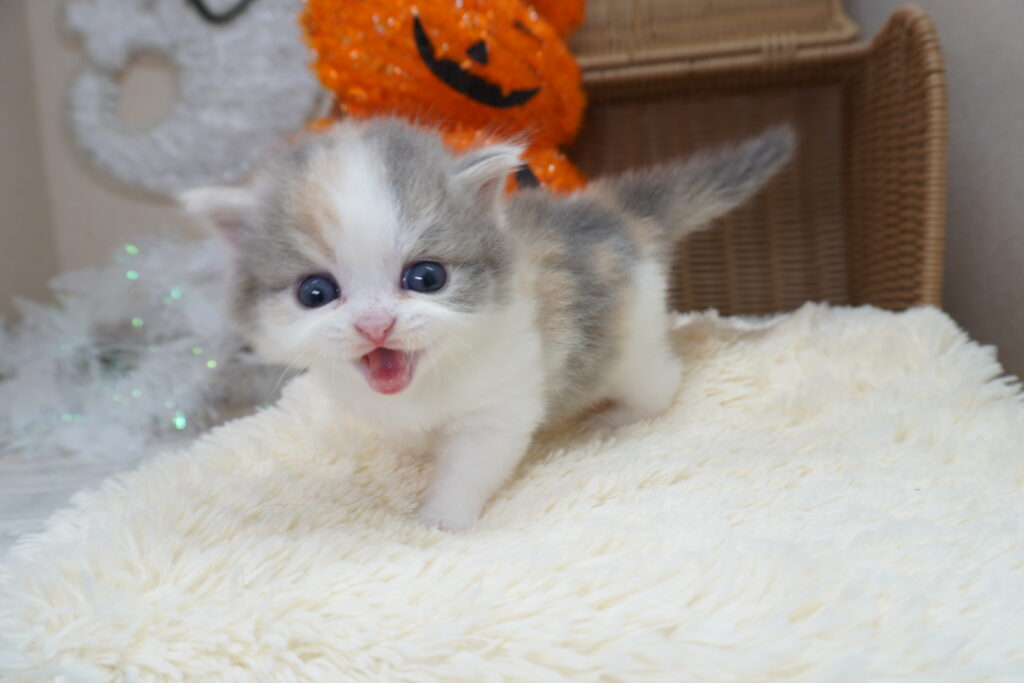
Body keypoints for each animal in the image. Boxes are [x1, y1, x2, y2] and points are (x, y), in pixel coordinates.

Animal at [182, 118, 794, 530]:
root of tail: (610, 209)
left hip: (630, 343)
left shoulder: (498, 408)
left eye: (425, 277)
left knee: (661, 381)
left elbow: (468, 468)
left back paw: (618, 415)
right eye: (316, 293)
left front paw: (440, 518)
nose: (376, 323)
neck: (427, 382)